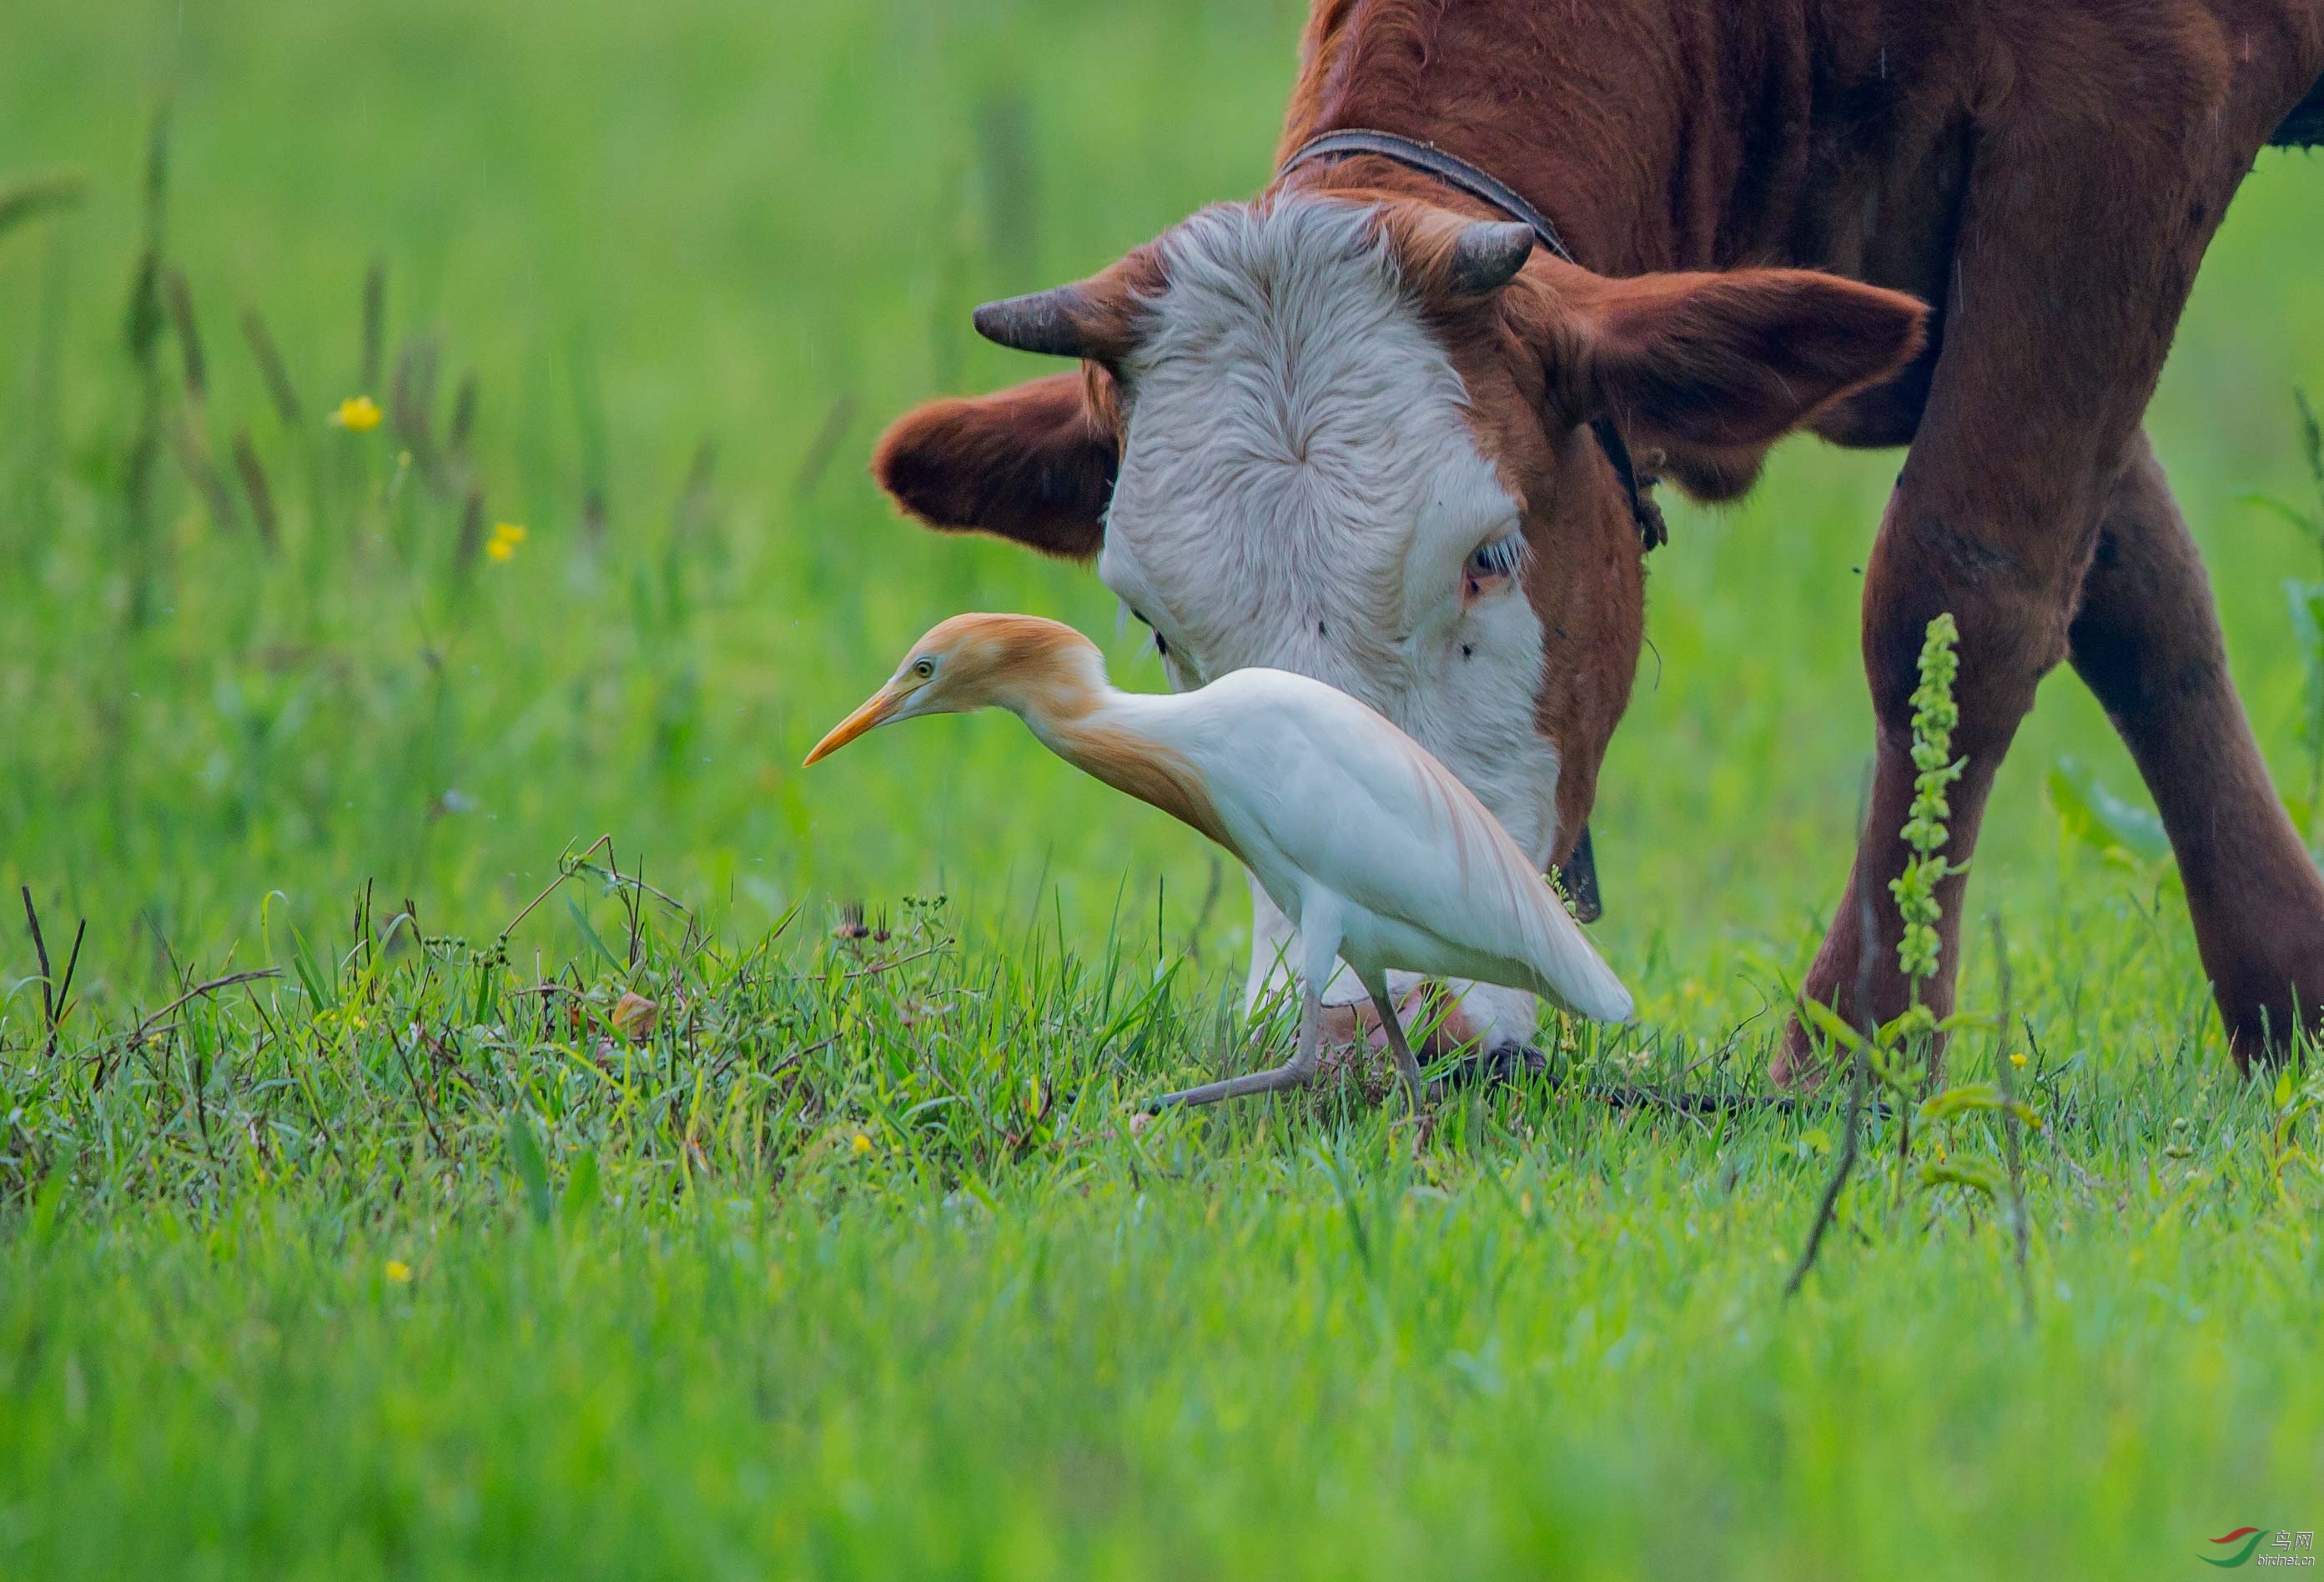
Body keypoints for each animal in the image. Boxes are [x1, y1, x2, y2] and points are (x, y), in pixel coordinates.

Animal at [868, 0, 2324, 1077]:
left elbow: (1964, 583)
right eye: (1156, 625)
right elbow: (2134, 592)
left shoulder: (2129, 104)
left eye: (1491, 558)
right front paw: (2288, 993)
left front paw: (1861, 1038)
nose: (1360, 1037)